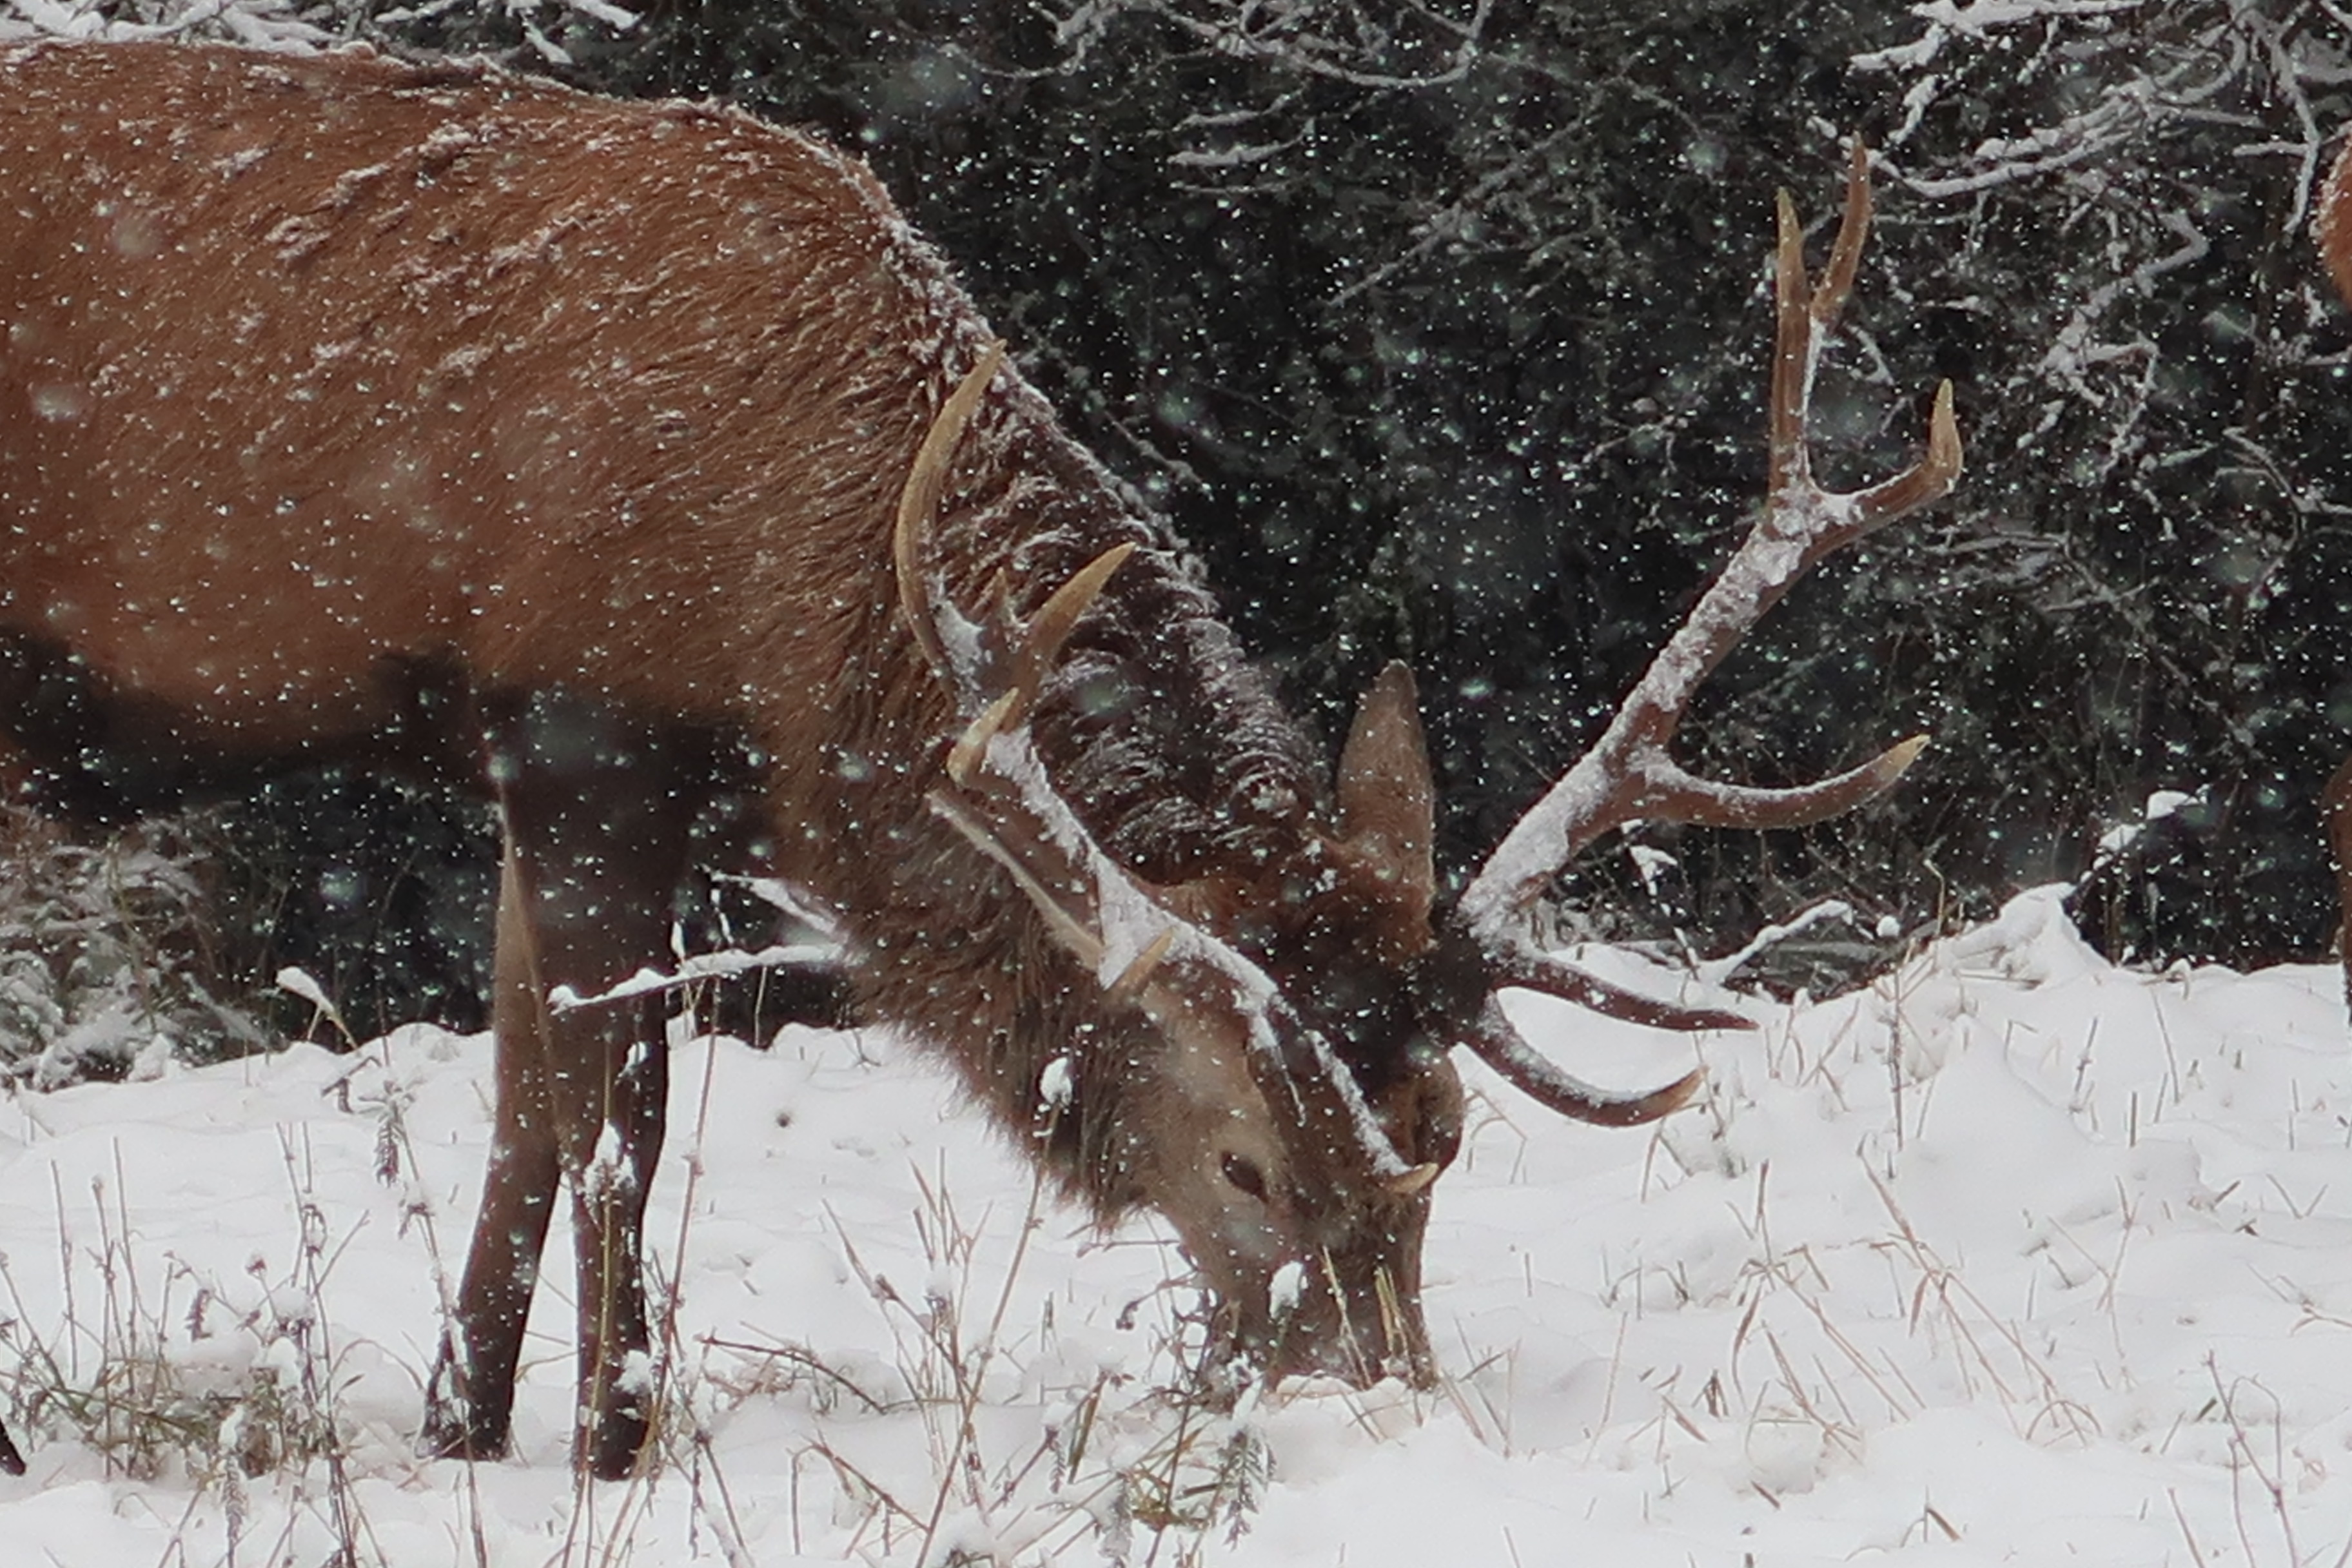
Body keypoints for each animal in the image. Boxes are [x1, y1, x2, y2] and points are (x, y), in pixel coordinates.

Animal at [0, 38, 1959, 1478]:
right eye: (1248, 1165)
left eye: (1445, 1140)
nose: (1376, 1404)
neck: (799, 632)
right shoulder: (584, 733)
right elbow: (612, 1123)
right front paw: (604, 1450)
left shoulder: (537, 774)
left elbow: (515, 1116)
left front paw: (458, 1429)